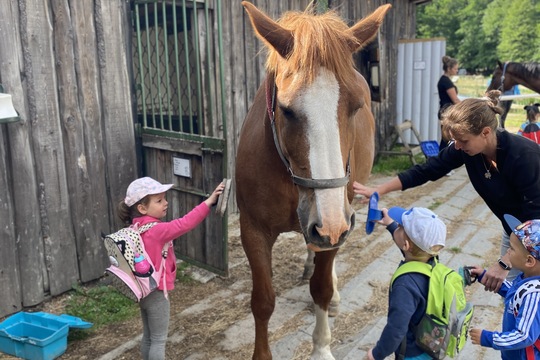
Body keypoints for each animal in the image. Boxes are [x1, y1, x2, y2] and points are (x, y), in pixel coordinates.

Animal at [234, 2, 390, 358]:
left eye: (356, 106)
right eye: (286, 109)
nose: (328, 222)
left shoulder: (337, 223)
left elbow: (320, 288)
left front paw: (321, 346)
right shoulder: (253, 230)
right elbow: (262, 302)